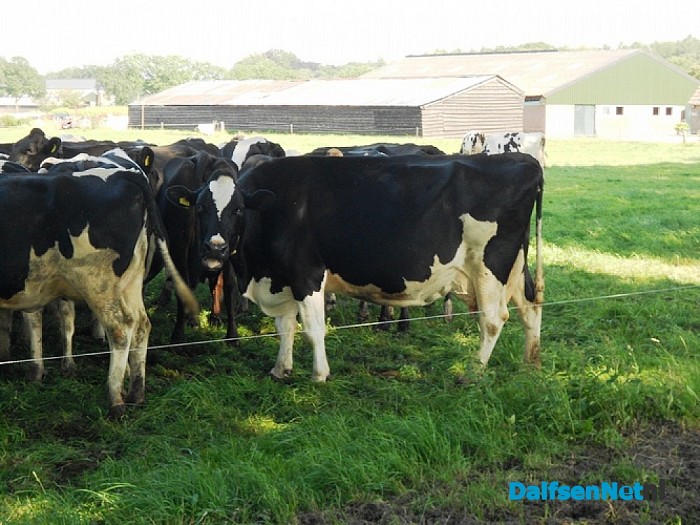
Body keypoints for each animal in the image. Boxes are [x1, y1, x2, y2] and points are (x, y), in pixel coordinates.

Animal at [0, 148, 199, 418]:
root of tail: (127, 177)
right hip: (128, 283)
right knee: (141, 325)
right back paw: (136, 394)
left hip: (98, 283)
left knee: (120, 328)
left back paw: (116, 401)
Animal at [171, 153, 544, 381]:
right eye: (201, 208)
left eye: (237, 210)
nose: (215, 248)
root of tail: (525, 161)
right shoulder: (281, 276)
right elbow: (284, 327)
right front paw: (281, 369)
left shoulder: (306, 273)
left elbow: (312, 329)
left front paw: (319, 374)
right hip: (514, 265)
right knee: (530, 306)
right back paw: (532, 362)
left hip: (490, 265)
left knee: (493, 319)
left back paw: (473, 372)